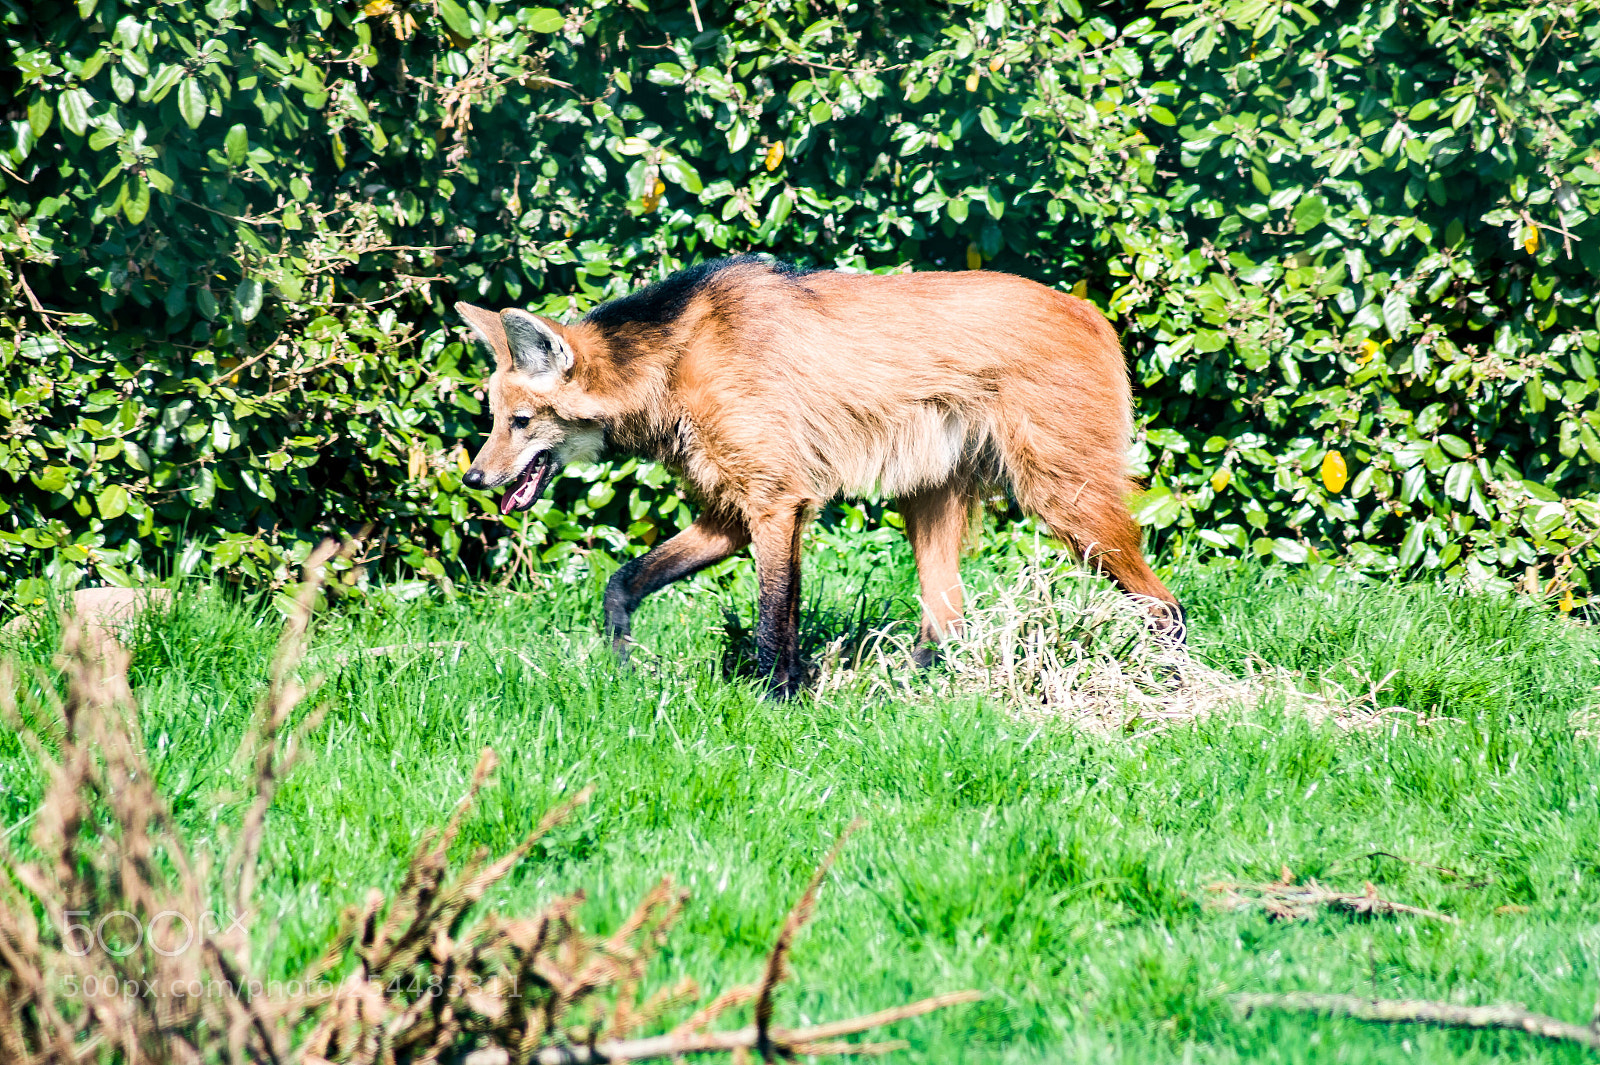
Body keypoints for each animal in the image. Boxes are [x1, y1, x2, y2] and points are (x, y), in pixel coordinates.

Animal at [458, 255, 1184, 697]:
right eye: (494, 418)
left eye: (521, 421)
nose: (474, 479)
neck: (674, 361)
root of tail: (1092, 314)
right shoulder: (732, 510)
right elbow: (623, 584)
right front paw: (622, 668)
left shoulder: (777, 502)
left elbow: (772, 622)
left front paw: (775, 702)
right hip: (929, 489)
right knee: (946, 617)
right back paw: (901, 690)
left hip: (1061, 494)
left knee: (1164, 604)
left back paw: (1174, 684)